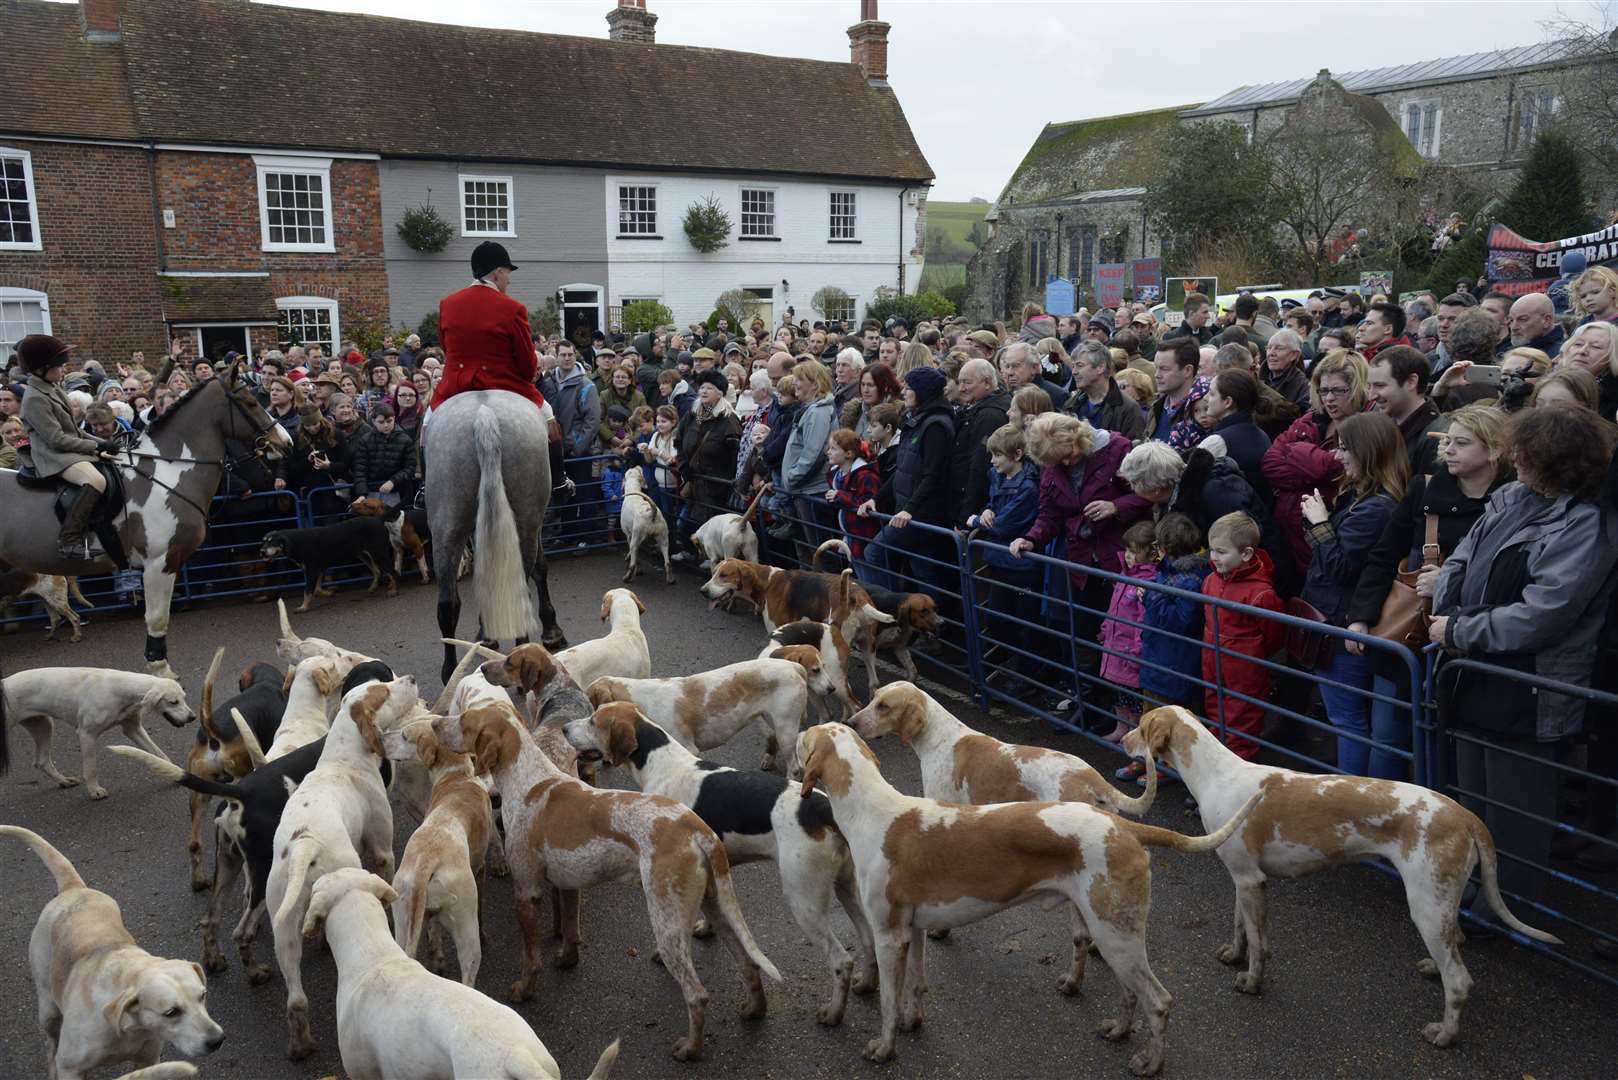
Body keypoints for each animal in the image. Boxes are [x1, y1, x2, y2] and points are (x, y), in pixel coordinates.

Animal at [0, 369, 294, 676]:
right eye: (250, 402)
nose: (286, 442)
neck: (166, 470)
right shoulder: (160, 562)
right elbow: (157, 619)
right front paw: (160, 670)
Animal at [262, 514, 398, 608]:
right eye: (263, 541)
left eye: (272, 542)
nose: (262, 552)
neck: (296, 541)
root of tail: (379, 519)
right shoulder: (320, 567)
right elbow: (317, 589)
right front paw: (328, 593)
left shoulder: (311, 570)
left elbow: (307, 590)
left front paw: (303, 607)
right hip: (363, 555)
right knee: (377, 571)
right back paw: (373, 587)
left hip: (378, 554)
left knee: (393, 571)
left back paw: (393, 590)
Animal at [427, 390, 566, 683]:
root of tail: (484, 415)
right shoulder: (534, 525)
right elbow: (541, 569)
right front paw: (552, 630)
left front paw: (486, 635)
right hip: (525, 522)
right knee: (521, 587)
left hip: (447, 527)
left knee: (447, 604)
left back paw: (450, 672)